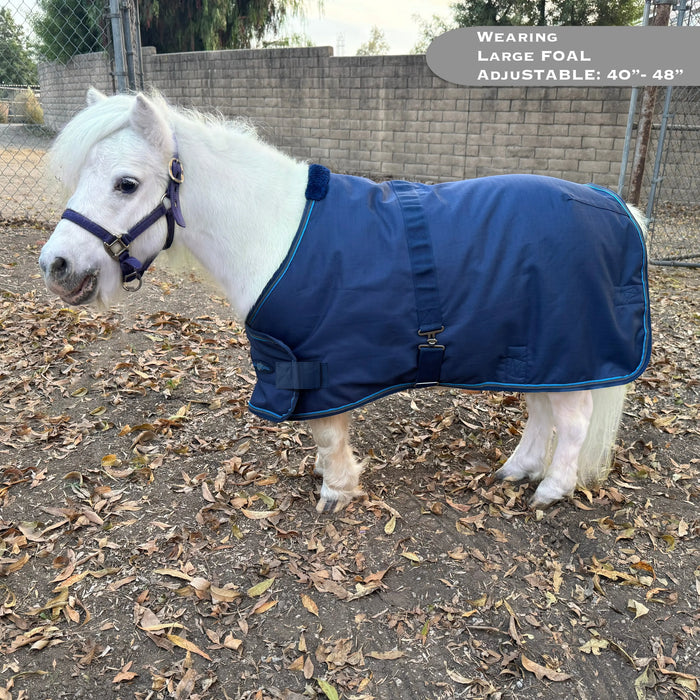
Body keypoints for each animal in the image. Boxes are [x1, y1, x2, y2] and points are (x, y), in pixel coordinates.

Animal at [39, 89, 651, 514]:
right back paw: (518, 470)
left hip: (567, 350)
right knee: (543, 414)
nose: (56, 266)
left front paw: (336, 488)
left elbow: (329, 431)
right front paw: (325, 474)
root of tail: (618, 208)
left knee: (572, 422)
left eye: (125, 183)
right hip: (536, 356)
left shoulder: (318, 363)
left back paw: (551, 489)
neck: (276, 231)